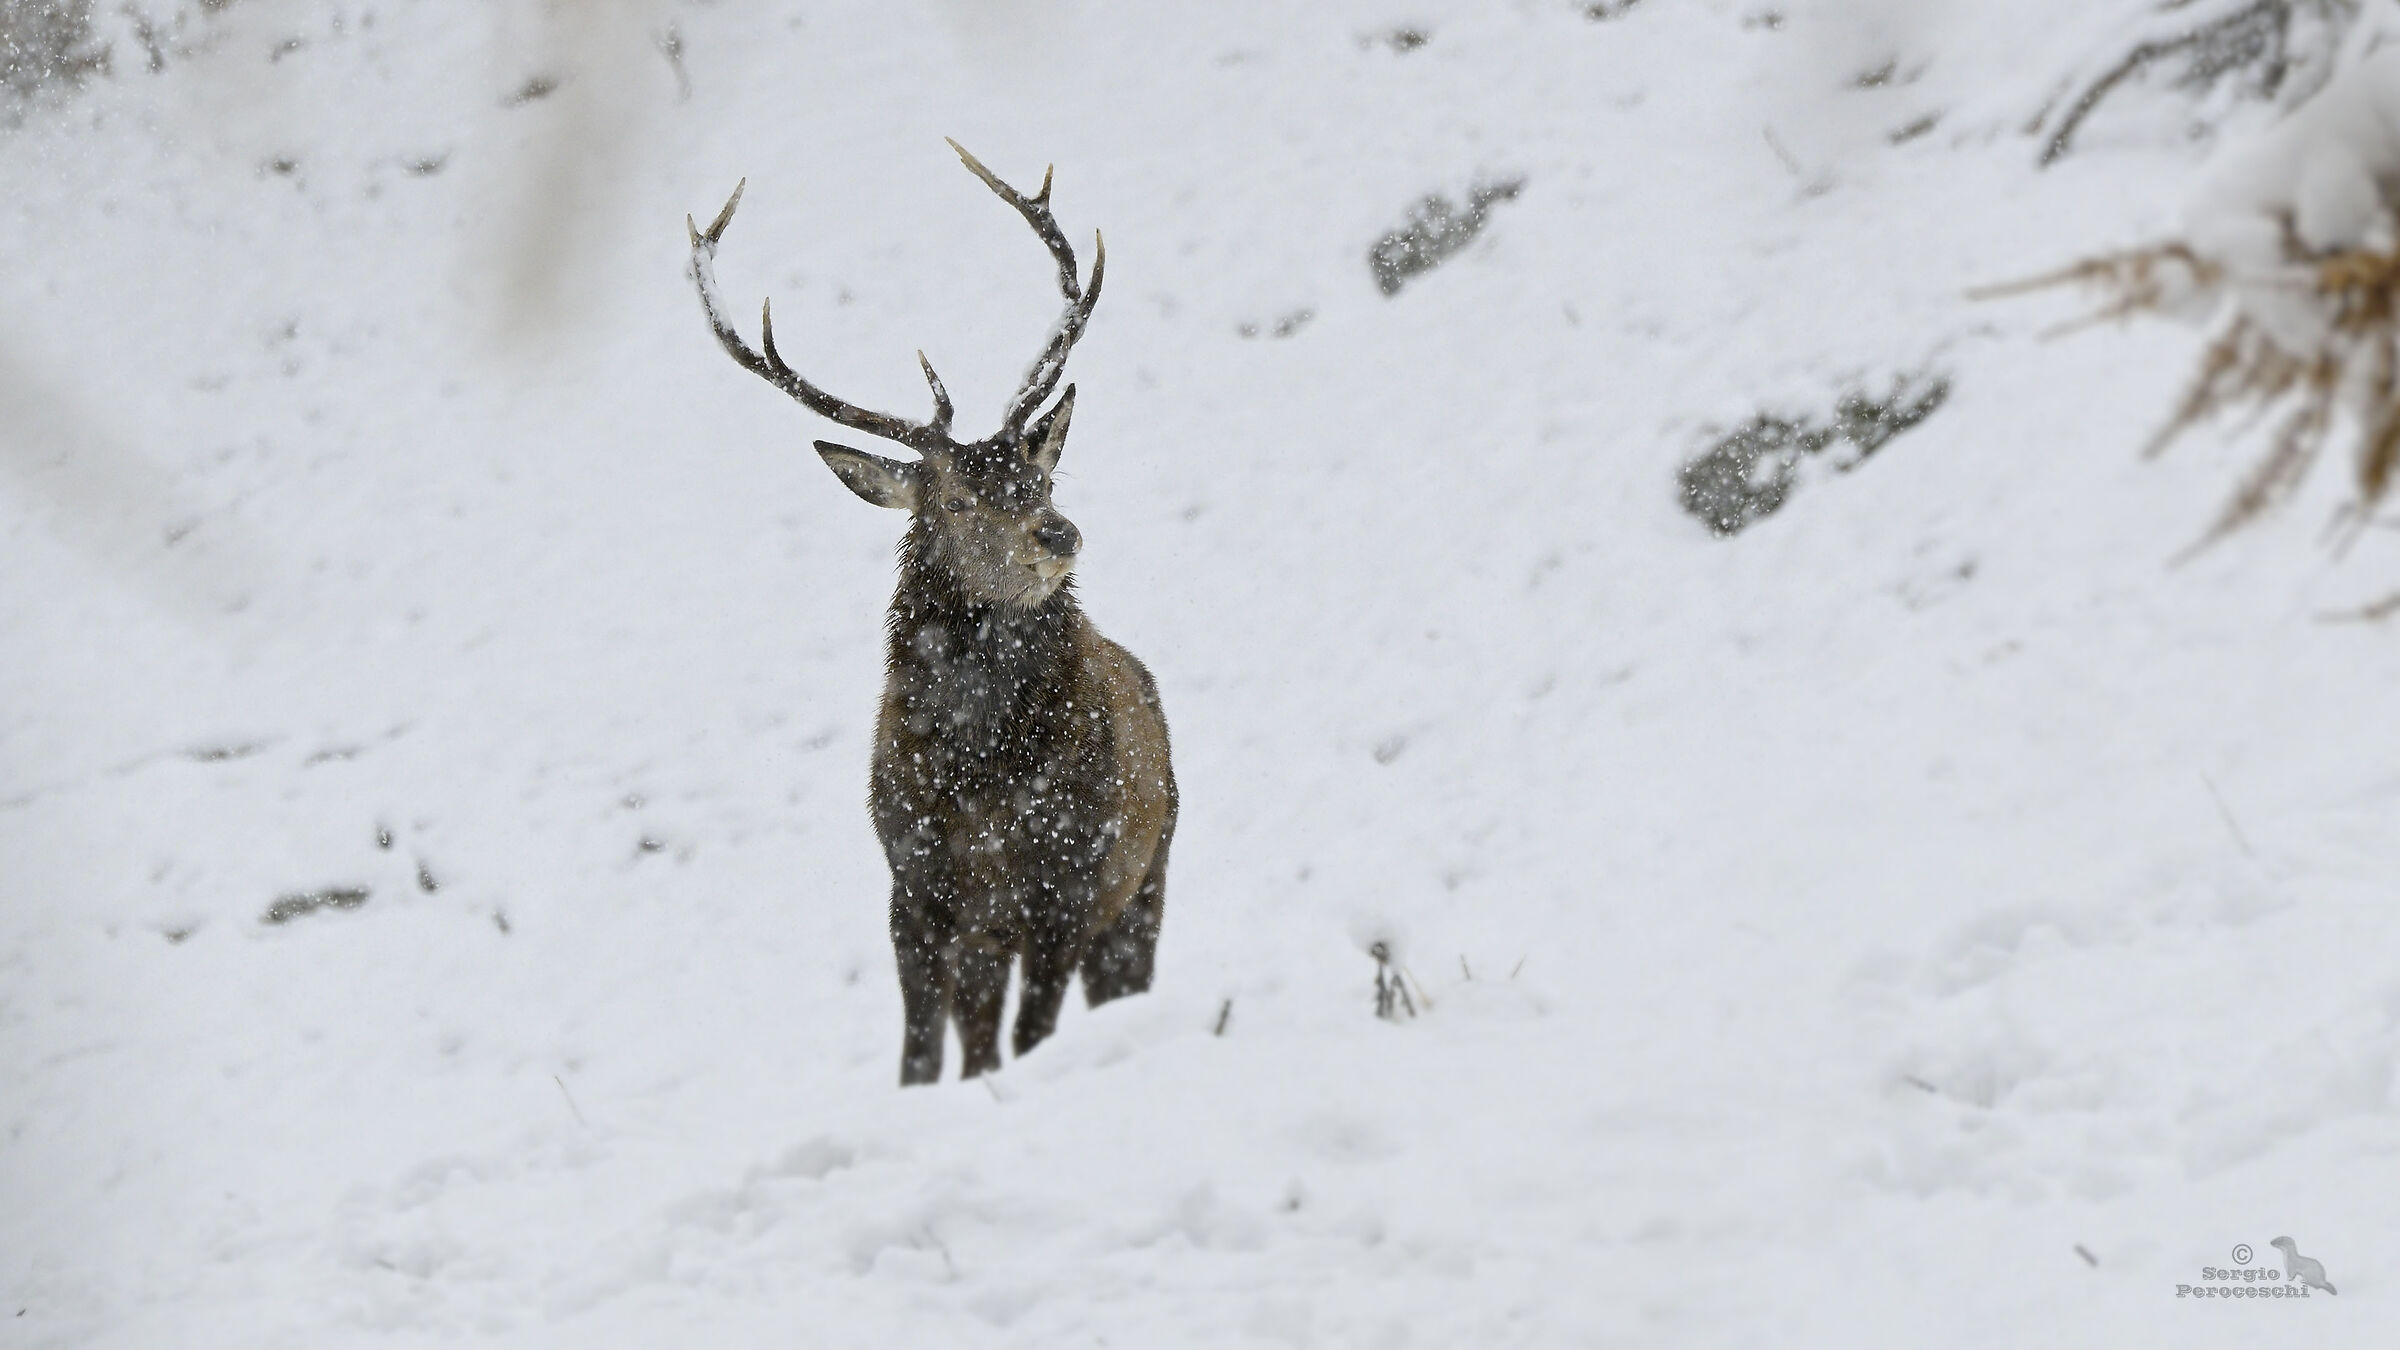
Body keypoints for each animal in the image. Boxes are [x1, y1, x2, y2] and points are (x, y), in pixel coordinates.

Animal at [686, 143, 1177, 1086]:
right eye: (952, 497)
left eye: (1041, 476)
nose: (1058, 532)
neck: (985, 787)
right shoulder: (914, 887)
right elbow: (920, 1053)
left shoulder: (1067, 888)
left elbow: (1034, 1038)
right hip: (996, 933)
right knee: (979, 1036)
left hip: (1148, 877)